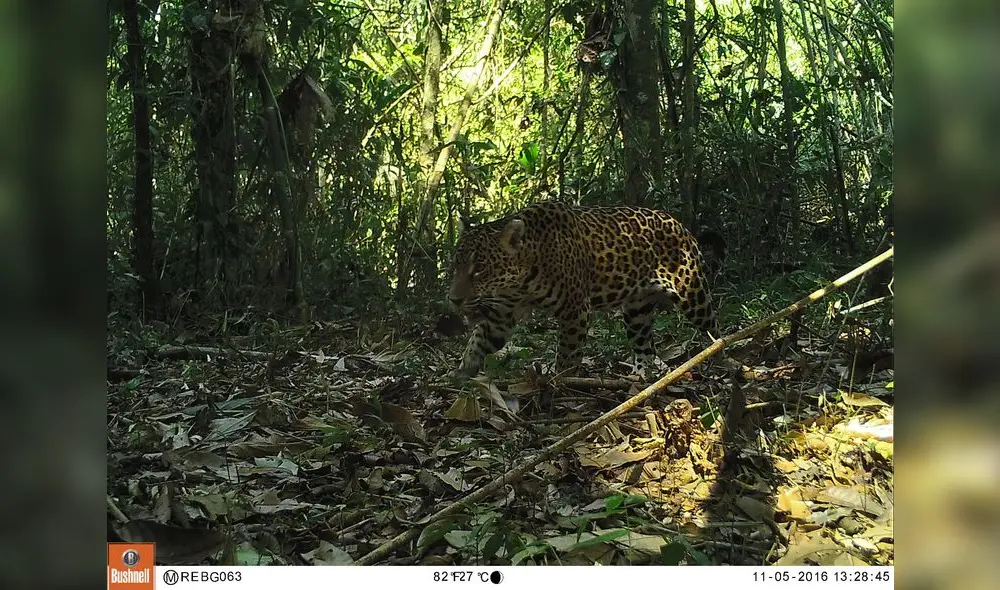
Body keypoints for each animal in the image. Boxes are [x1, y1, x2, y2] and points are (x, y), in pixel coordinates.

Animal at [447, 201, 718, 378]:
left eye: (480, 268)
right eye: (456, 265)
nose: (453, 300)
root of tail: (680, 225)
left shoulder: (574, 310)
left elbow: (567, 355)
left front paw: (559, 382)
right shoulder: (501, 315)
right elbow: (478, 341)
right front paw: (462, 374)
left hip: (692, 294)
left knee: (712, 325)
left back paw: (716, 356)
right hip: (636, 311)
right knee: (644, 346)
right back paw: (642, 377)